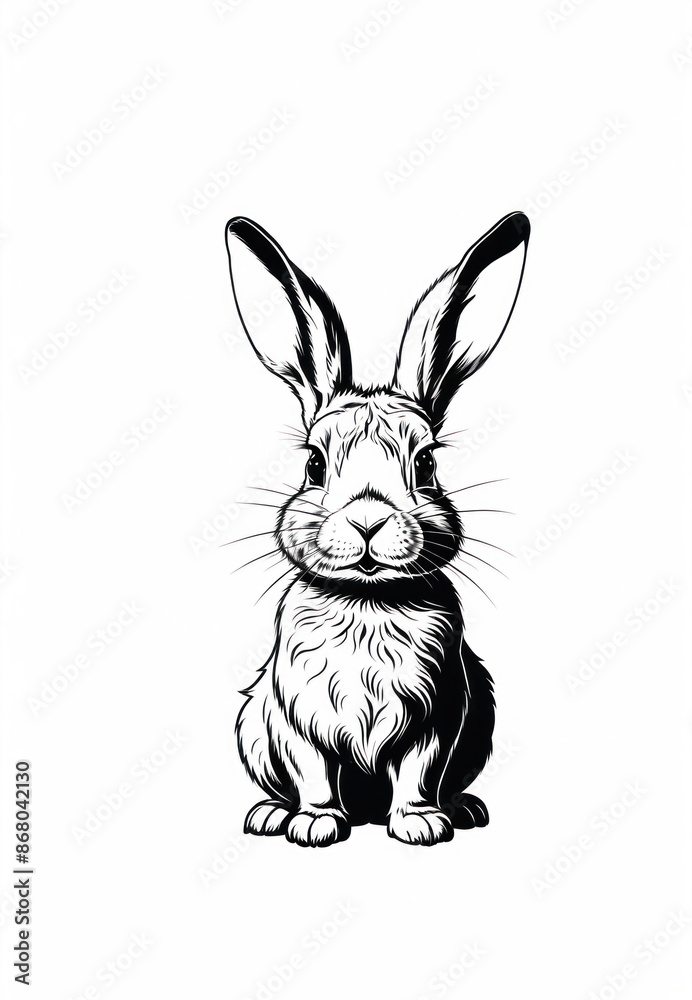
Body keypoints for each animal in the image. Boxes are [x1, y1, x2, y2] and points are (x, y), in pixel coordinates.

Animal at [224, 211, 529, 847]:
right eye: (314, 464)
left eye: (428, 463)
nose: (368, 521)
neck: (367, 602)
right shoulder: (296, 718)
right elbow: (313, 772)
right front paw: (315, 825)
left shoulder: (436, 718)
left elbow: (418, 772)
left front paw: (420, 825)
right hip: (252, 725)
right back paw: (269, 816)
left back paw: (463, 809)